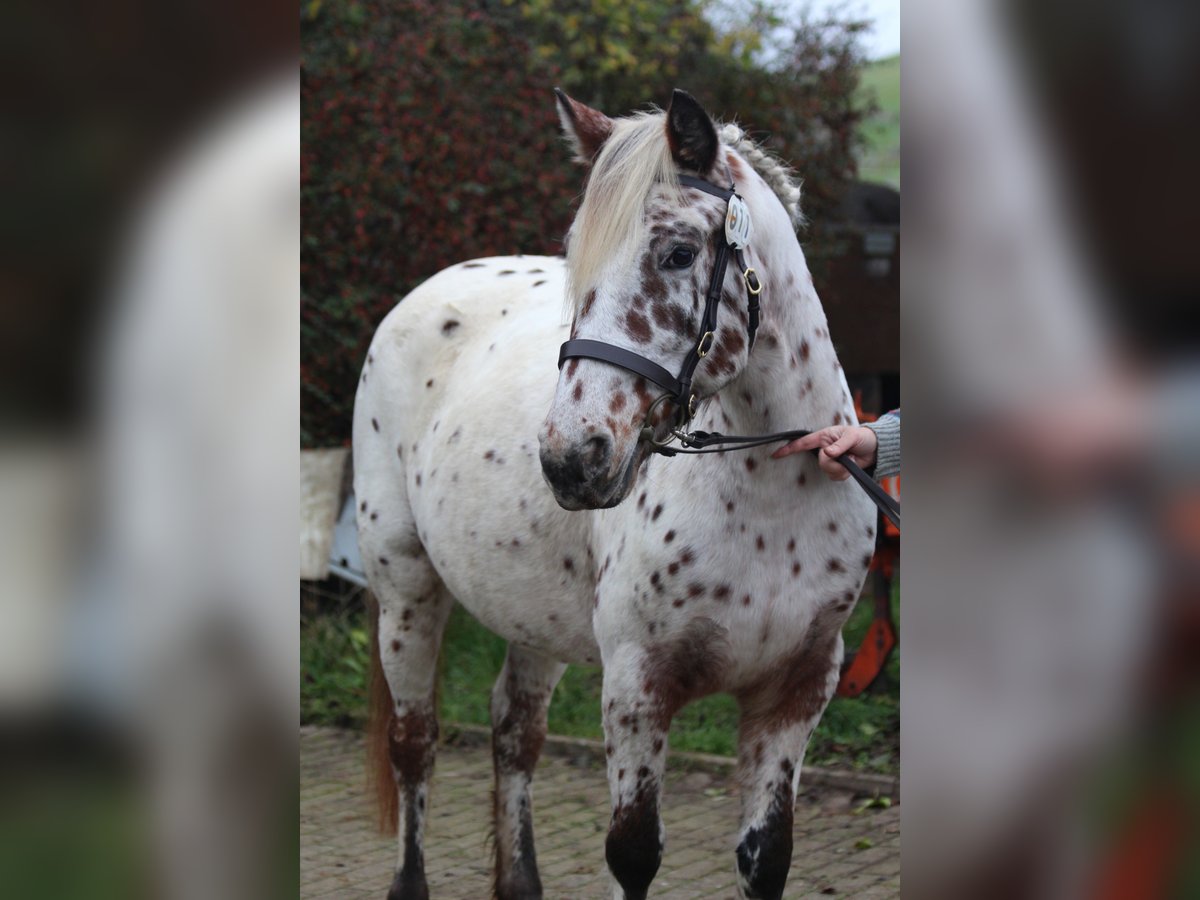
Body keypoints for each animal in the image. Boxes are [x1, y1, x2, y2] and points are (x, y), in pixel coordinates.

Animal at [350, 90, 878, 900]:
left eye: (679, 253)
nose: (572, 458)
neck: (771, 500)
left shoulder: (795, 693)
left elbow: (767, 859)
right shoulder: (638, 685)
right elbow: (633, 854)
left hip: (531, 611)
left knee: (515, 733)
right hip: (406, 587)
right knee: (414, 745)